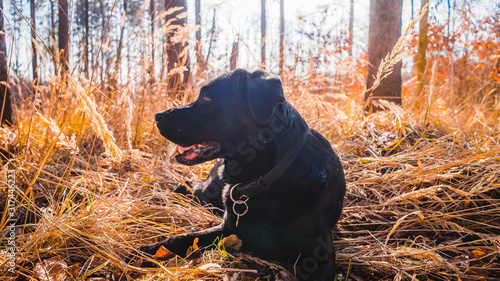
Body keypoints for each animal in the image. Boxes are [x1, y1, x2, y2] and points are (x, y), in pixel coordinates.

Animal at [140, 69, 344, 278]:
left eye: (206, 98)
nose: (157, 116)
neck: (265, 179)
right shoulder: (228, 229)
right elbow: (180, 239)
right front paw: (147, 252)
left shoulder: (321, 254)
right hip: (210, 193)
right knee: (188, 186)